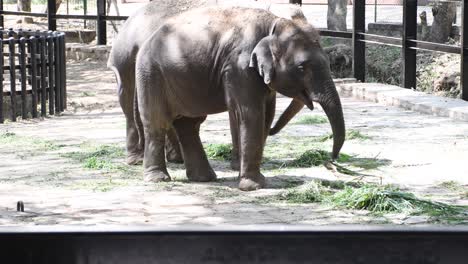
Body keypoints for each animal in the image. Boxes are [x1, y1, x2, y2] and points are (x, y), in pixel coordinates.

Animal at [107, 0, 310, 167]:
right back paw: (139, 160)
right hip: (125, 63)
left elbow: (268, 109)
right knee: (130, 103)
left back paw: (174, 159)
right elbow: (238, 111)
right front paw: (238, 165)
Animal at [133, 6, 346, 191]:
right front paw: (253, 187)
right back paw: (158, 179)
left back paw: (204, 178)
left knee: (189, 125)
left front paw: (257, 181)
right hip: (151, 74)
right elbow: (251, 114)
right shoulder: (239, 68)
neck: (273, 25)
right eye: (302, 67)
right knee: (158, 122)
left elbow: (267, 115)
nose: (333, 160)